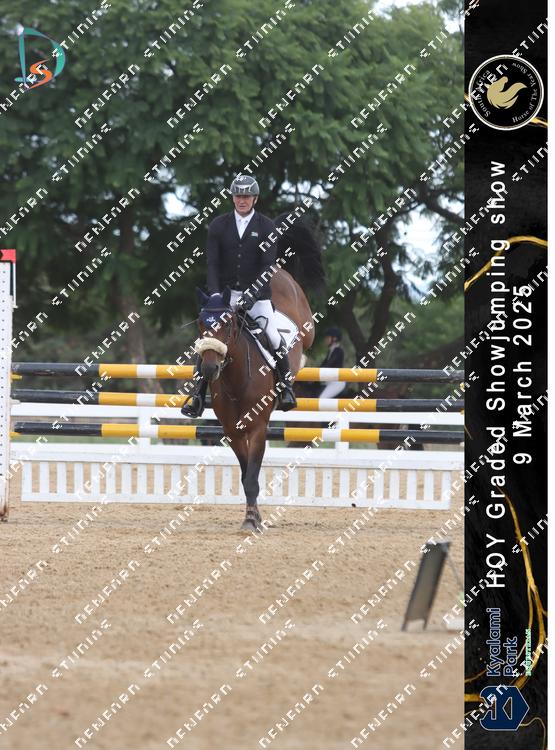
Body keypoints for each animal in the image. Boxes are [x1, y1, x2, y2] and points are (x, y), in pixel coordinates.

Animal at [190, 215, 325, 530]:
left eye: (227, 323)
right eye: (201, 324)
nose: (210, 368)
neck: (235, 379)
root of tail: (279, 272)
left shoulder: (258, 427)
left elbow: (252, 476)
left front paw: (252, 522)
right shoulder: (232, 430)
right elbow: (244, 475)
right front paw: (254, 515)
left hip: (307, 326)